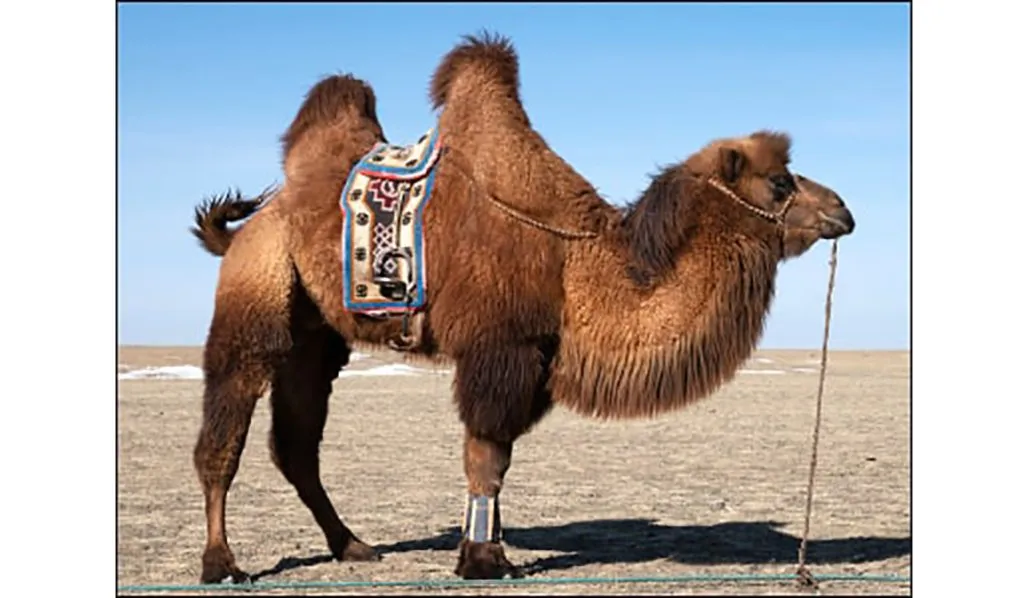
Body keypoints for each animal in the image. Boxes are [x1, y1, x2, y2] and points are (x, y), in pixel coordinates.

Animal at [187, 33, 856, 583]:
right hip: (258, 287)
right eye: (780, 182)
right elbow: (486, 456)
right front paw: (482, 559)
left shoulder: (534, 357)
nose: (843, 210)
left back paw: (351, 545)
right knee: (229, 421)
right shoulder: (500, 346)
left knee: (296, 442)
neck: (575, 265)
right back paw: (222, 564)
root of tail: (250, 224)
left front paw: (489, 549)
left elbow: (500, 459)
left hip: (317, 331)